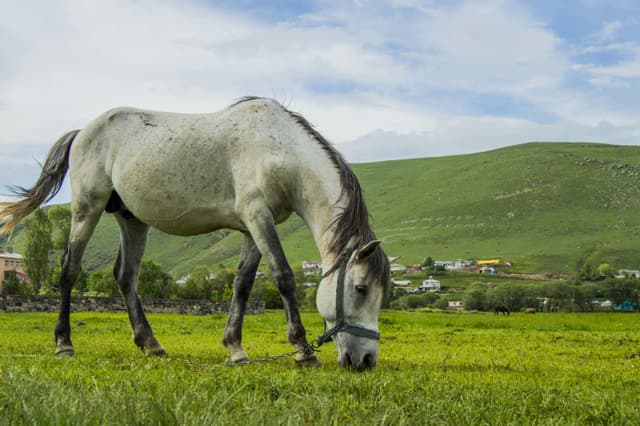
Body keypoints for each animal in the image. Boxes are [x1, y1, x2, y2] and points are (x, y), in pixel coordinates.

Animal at [0, 97, 390, 371]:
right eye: (360, 288)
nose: (366, 360)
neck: (278, 148)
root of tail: (82, 132)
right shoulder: (257, 215)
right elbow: (283, 277)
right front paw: (302, 350)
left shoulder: (254, 227)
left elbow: (243, 284)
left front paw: (235, 348)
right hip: (86, 209)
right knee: (69, 269)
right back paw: (64, 344)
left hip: (132, 219)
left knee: (126, 277)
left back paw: (151, 344)